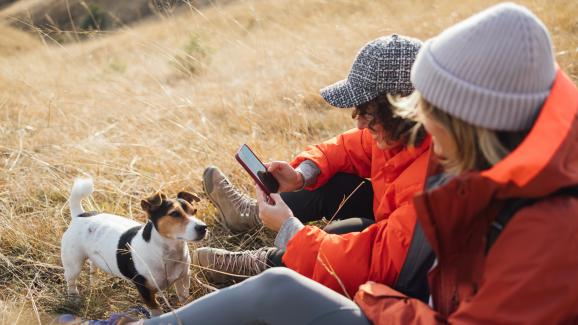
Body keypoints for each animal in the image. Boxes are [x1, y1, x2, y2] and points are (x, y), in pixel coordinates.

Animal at [60, 177, 205, 314]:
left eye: (195, 211)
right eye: (174, 214)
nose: (203, 227)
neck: (166, 252)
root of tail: (80, 215)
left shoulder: (183, 279)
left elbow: (184, 299)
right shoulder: (145, 290)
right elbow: (156, 311)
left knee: (93, 267)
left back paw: (93, 284)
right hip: (73, 265)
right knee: (71, 281)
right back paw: (74, 298)